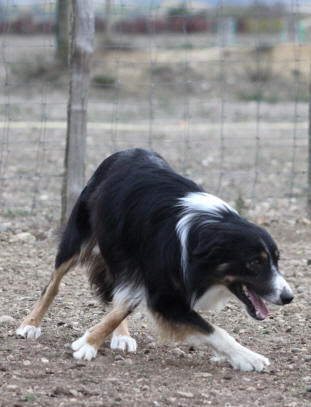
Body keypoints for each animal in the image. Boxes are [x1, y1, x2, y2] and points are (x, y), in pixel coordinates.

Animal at [16, 148, 294, 372]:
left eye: (276, 260)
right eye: (255, 263)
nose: (288, 297)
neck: (202, 232)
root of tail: (127, 150)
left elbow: (123, 306)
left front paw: (89, 341)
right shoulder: (162, 293)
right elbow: (216, 331)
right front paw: (250, 358)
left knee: (118, 297)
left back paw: (119, 336)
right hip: (80, 239)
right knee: (53, 285)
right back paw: (30, 324)